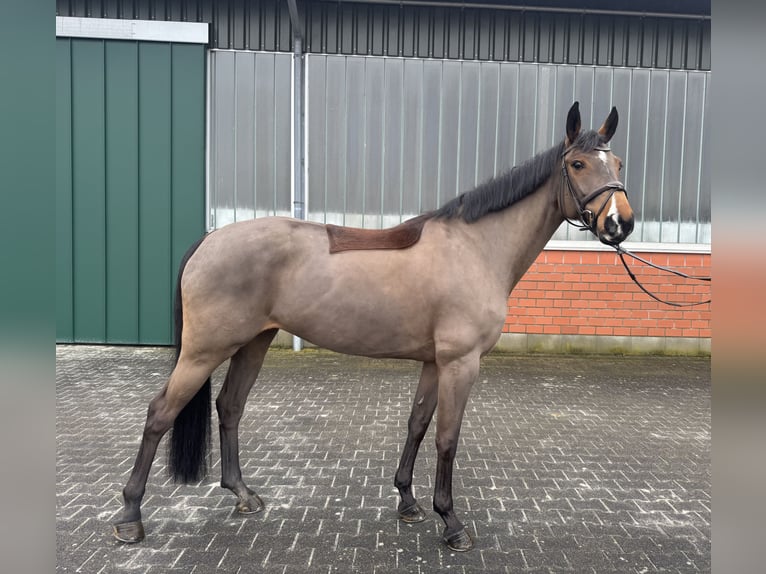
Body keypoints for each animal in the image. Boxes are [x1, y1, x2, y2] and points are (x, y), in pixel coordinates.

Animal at [112, 102, 634, 552]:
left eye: (619, 163)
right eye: (579, 164)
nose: (620, 224)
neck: (475, 247)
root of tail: (210, 239)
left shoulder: (433, 362)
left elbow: (417, 425)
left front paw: (408, 501)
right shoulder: (460, 363)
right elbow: (447, 438)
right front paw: (452, 522)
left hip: (253, 343)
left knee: (230, 406)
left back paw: (243, 495)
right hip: (203, 350)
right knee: (160, 414)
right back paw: (130, 517)